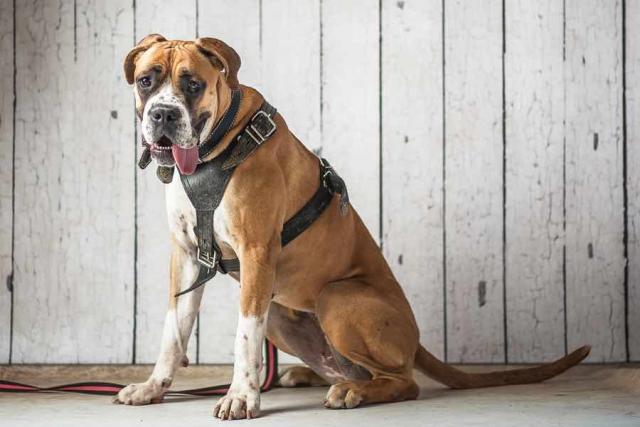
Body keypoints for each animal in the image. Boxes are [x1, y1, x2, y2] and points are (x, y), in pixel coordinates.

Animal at [114, 34, 591, 420]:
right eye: (146, 81)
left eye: (193, 84)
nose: (163, 115)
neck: (217, 145)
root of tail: (415, 342)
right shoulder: (188, 256)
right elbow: (173, 332)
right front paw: (154, 388)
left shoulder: (256, 253)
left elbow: (244, 337)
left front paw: (241, 397)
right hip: (282, 317)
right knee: (349, 367)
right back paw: (315, 376)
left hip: (336, 298)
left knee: (403, 381)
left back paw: (353, 392)